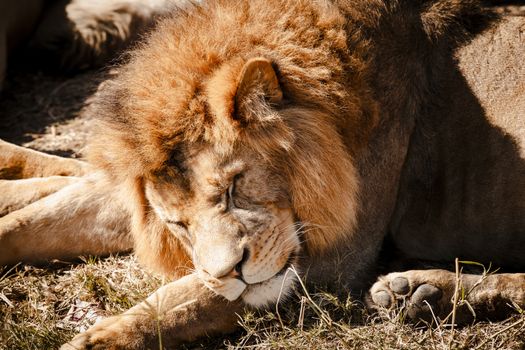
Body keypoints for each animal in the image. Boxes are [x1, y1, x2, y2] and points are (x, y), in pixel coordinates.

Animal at [1, 0, 524, 348]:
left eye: (235, 187)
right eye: (177, 224)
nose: (232, 271)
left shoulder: (336, 256)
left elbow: (184, 302)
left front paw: (96, 339)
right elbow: (34, 221)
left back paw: (420, 291)